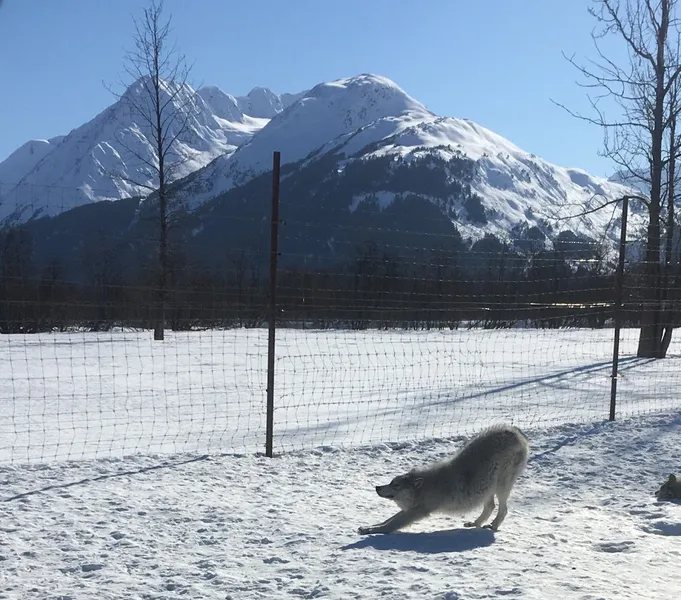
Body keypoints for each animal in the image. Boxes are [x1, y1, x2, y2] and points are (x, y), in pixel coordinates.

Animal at [358, 422, 528, 536]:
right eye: (391, 482)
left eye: (396, 485)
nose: (377, 488)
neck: (426, 488)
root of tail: (516, 432)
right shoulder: (412, 509)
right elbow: (387, 520)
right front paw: (369, 527)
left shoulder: (419, 510)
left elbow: (390, 525)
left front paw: (372, 531)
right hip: (487, 489)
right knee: (490, 507)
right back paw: (475, 523)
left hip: (501, 486)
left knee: (503, 509)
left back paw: (493, 526)